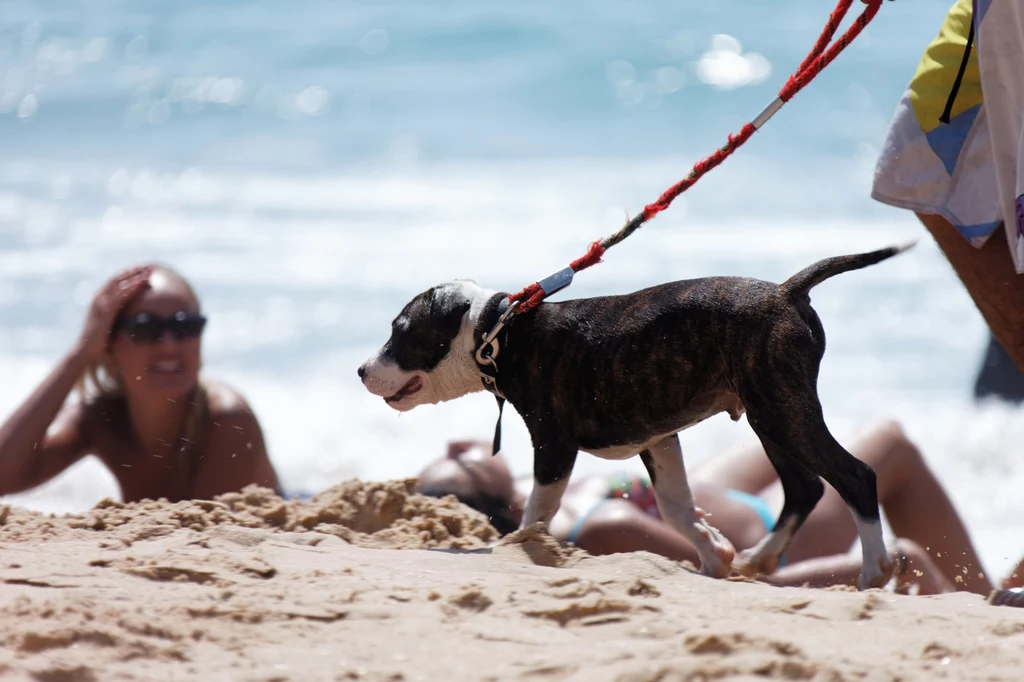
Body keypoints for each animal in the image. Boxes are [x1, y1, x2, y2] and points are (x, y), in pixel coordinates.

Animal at [360, 241, 913, 585]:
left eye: (401, 332)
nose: (362, 370)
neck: (500, 333)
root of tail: (786, 290)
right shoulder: (658, 439)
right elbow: (675, 507)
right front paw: (714, 554)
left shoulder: (553, 446)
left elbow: (537, 510)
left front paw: (520, 548)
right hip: (771, 414)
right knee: (806, 487)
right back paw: (761, 557)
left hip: (779, 410)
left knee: (854, 475)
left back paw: (874, 569)